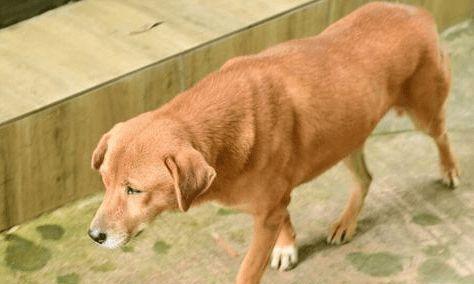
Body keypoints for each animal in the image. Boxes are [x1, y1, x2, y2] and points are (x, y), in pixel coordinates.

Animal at [89, 2, 460, 284]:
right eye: (105, 183)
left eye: (134, 190)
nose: (94, 236)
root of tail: (415, 10)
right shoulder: (273, 203)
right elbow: (285, 217)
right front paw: (287, 246)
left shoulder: (266, 212)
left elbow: (248, 270)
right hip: (346, 135)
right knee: (366, 178)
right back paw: (347, 221)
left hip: (424, 114)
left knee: (442, 134)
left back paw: (450, 169)